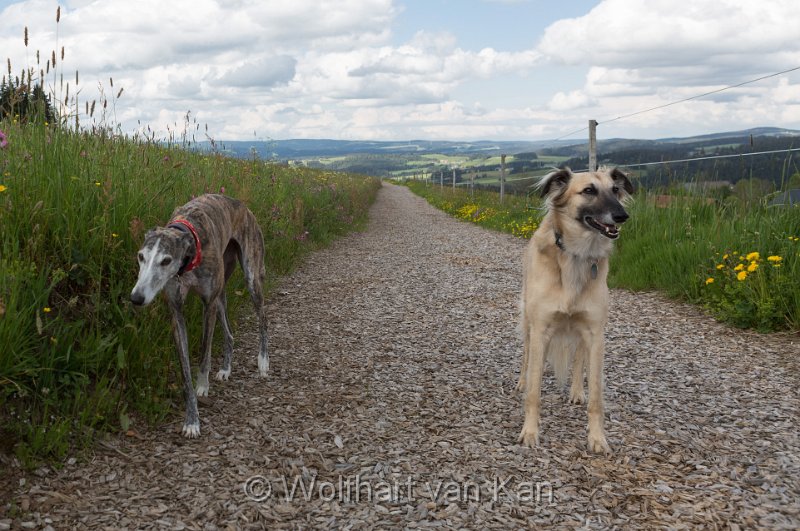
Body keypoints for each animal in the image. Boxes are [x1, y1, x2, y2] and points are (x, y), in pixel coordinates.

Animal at [516, 166, 636, 454]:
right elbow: (534, 392)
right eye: (589, 190)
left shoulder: (595, 333)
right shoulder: (541, 328)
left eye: (615, 190)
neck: (576, 257)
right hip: (528, 324)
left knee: (579, 359)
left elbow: (596, 396)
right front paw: (530, 432)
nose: (622, 216)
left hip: (582, 333)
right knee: (527, 356)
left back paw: (576, 391)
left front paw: (597, 437)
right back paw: (522, 381)